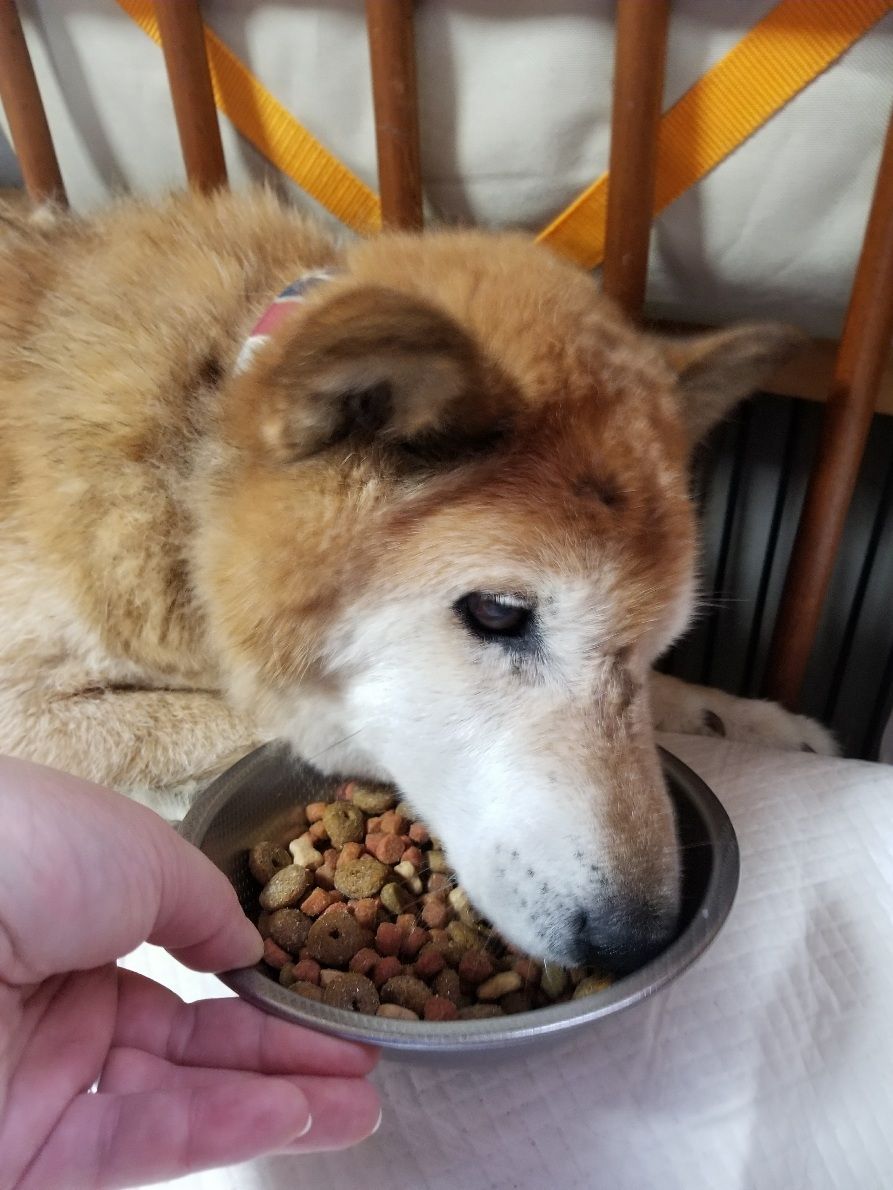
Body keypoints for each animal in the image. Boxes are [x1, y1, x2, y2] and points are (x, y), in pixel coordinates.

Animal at [0, 187, 835, 970]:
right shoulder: (27, 716)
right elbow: (275, 723)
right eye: (496, 613)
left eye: (660, 641)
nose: (636, 939)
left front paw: (750, 719)